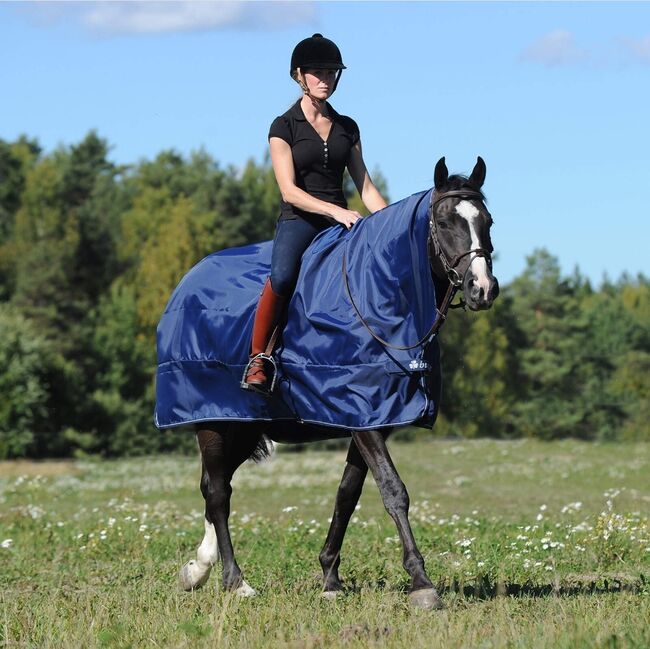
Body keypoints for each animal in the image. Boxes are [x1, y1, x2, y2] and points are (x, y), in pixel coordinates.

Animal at [161, 156, 496, 608]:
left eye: (487, 222)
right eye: (444, 222)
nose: (483, 289)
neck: (378, 295)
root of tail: (186, 284)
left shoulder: (372, 420)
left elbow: (347, 494)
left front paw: (330, 577)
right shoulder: (362, 418)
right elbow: (393, 491)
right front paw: (421, 582)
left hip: (242, 427)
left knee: (214, 486)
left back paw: (198, 569)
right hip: (211, 422)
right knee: (218, 494)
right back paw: (235, 580)